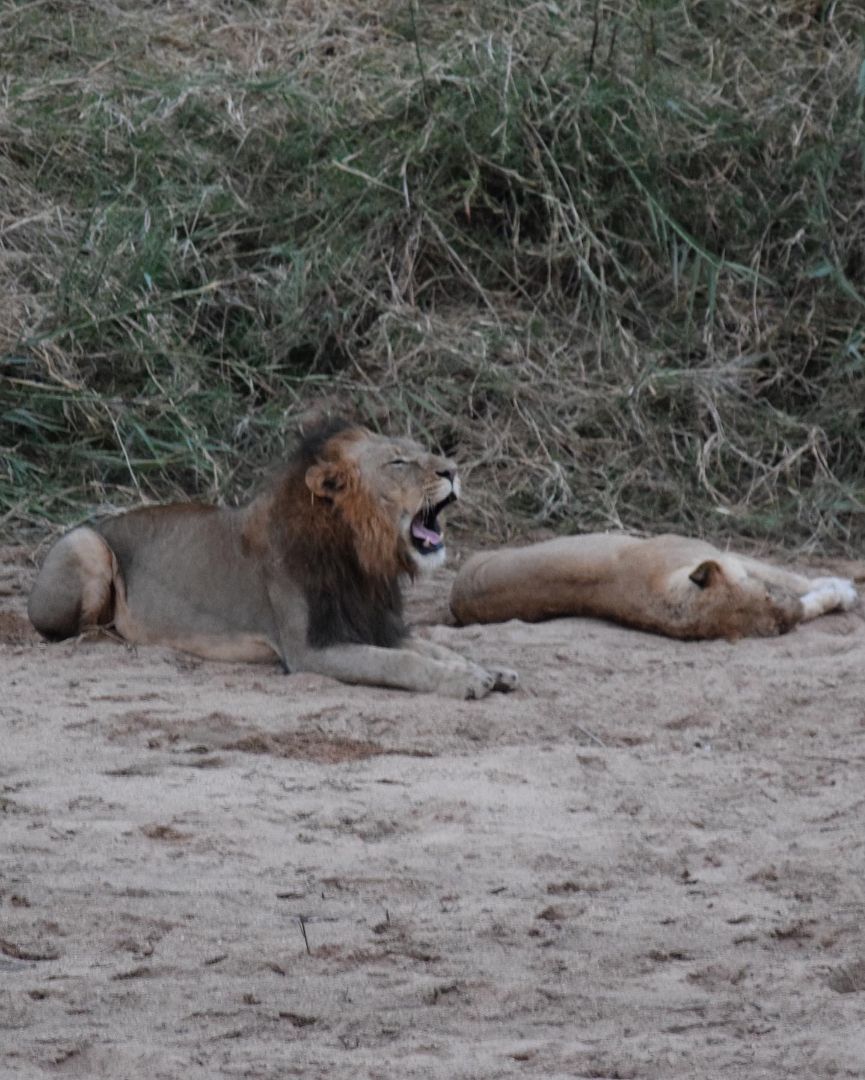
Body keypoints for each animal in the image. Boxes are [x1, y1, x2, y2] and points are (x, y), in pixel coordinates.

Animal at [26, 416, 516, 695]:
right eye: (399, 462)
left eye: (423, 452)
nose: (453, 470)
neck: (361, 558)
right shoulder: (309, 651)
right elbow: (401, 662)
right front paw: (464, 682)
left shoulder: (376, 624)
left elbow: (435, 648)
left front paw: (487, 670)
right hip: (86, 545)